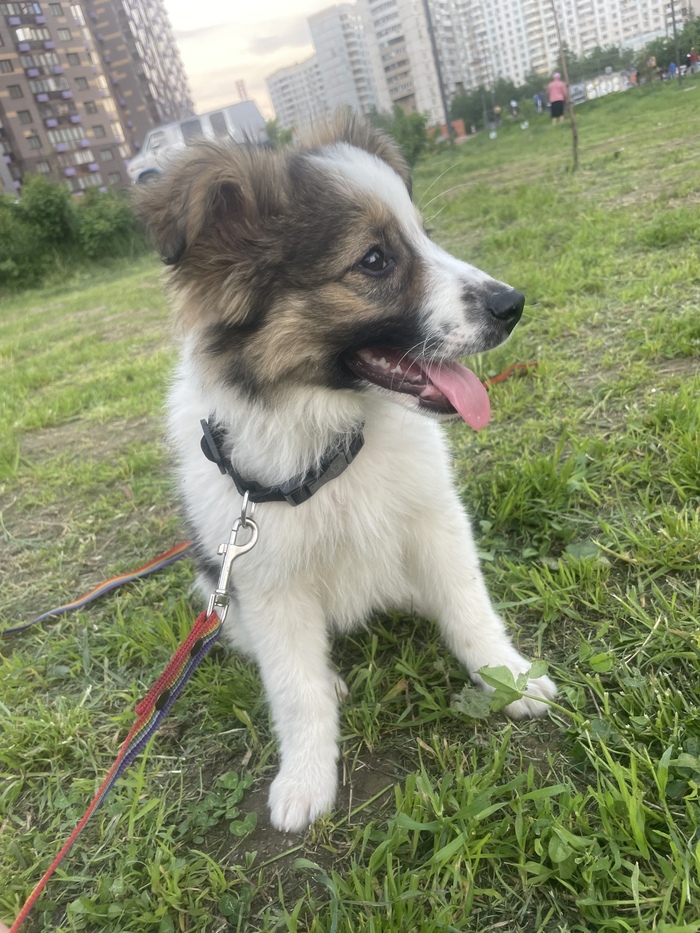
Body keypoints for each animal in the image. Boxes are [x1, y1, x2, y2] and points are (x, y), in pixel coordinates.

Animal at [134, 113, 557, 834]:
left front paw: (508, 678)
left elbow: (470, 609)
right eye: (375, 261)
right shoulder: (264, 581)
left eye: (424, 233)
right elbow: (295, 687)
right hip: (216, 590)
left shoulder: (436, 520)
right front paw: (306, 776)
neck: (333, 431)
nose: (513, 304)